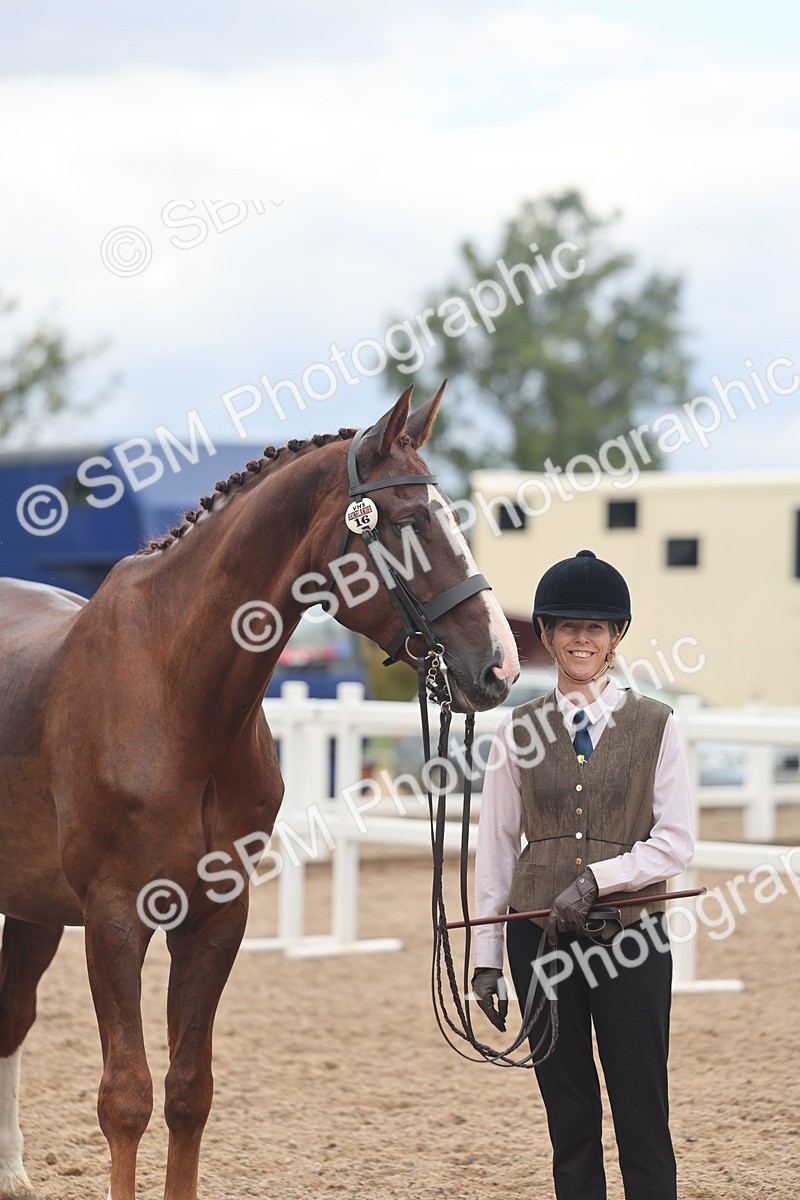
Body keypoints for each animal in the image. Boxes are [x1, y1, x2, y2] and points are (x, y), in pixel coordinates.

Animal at [0, 384, 519, 1200]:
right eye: (408, 521)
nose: (500, 665)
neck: (171, 693)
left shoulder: (217, 917)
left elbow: (188, 1091)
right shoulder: (115, 918)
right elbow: (126, 1098)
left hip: (32, 906)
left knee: (12, 1016)